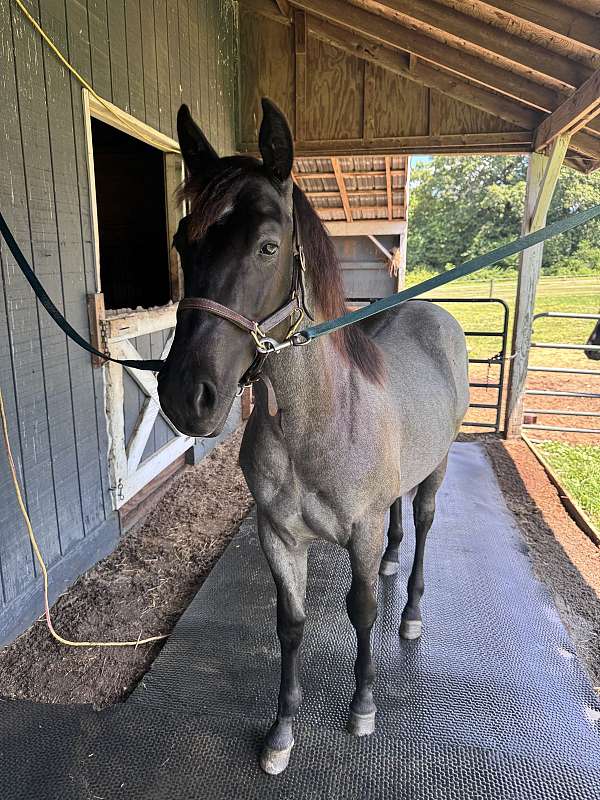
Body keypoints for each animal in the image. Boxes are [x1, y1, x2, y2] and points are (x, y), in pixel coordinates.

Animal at [157, 99, 470, 775]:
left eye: (268, 246)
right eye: (182, 241)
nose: (186, 396)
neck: (316, 424)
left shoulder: (358, 531)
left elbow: (362, 610)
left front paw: (363, 706)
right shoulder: (278, 534)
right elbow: (292, 622)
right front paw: (281, 731)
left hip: (437, 468)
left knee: (423, 522)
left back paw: (411, 612)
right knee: (400, 522)